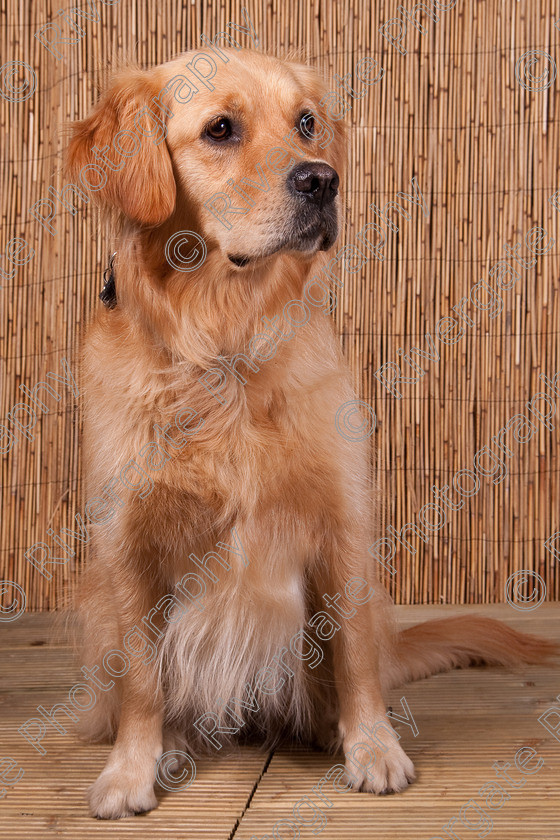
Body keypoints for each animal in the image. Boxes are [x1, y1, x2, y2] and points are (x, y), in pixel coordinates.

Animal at [66, 47, 556, 820]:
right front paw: (131, 770)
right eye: (220, 129)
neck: (226, 346)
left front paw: (374, 749)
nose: (322, 179)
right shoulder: (128, 541)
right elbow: (143, 680)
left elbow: (353, 659)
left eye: (306, 123)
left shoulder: (341, 520)